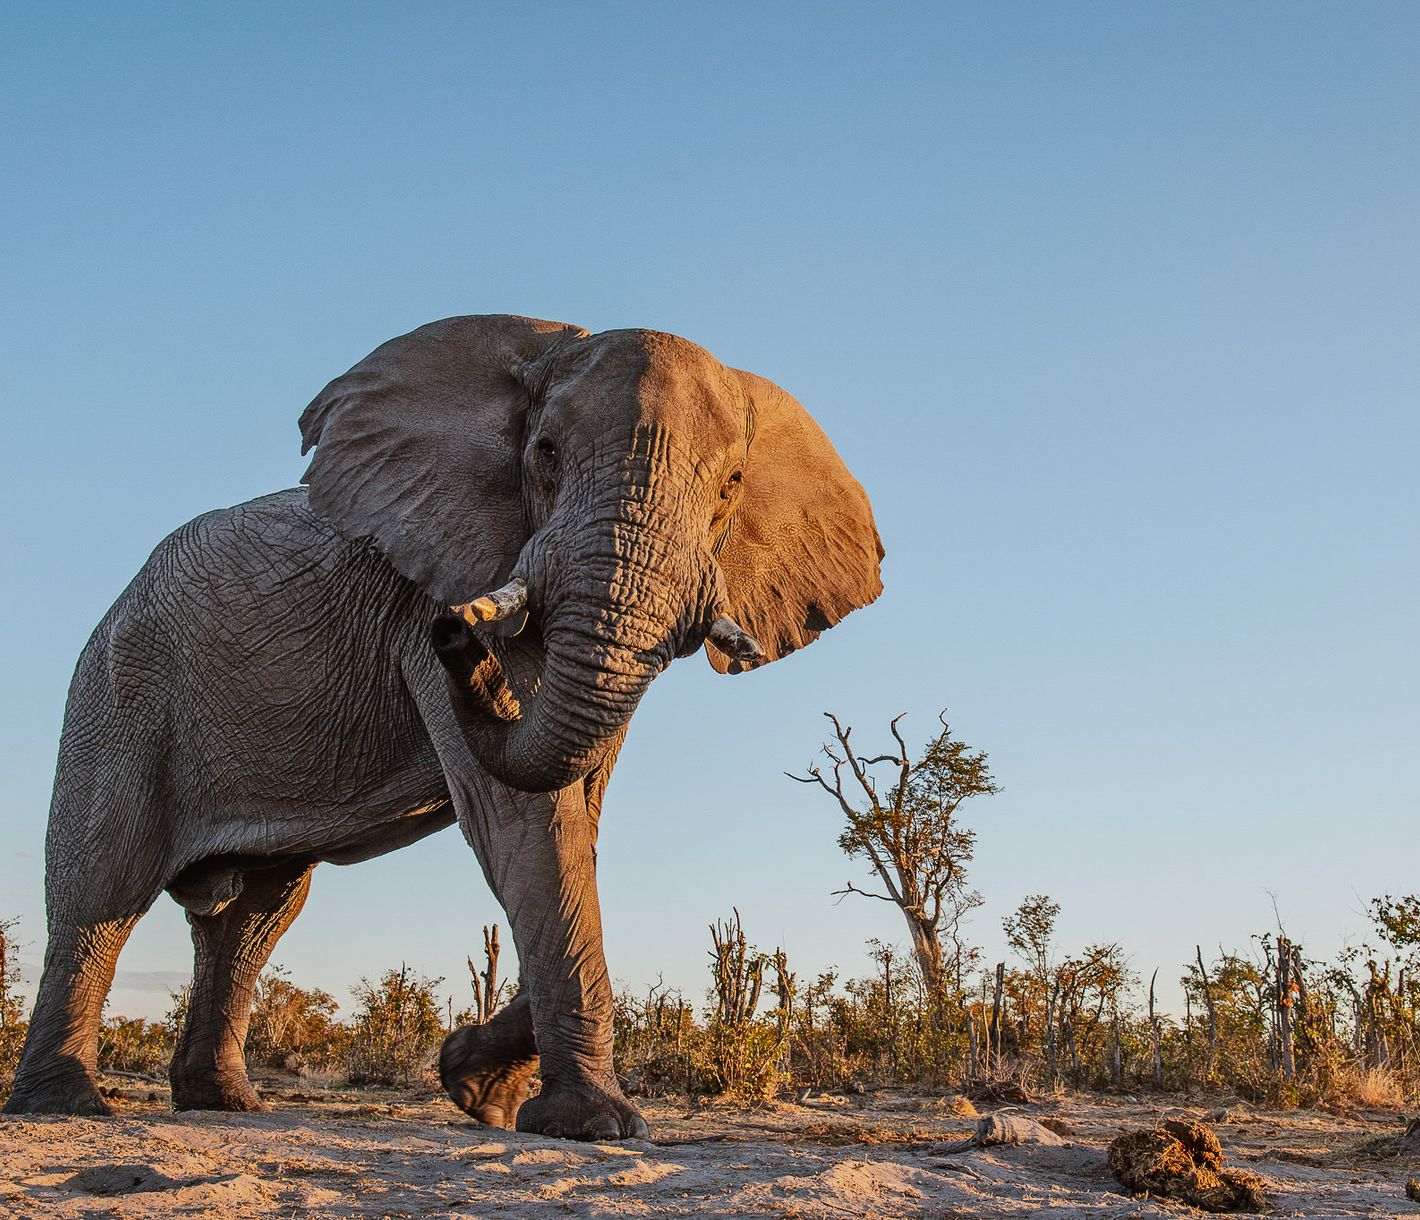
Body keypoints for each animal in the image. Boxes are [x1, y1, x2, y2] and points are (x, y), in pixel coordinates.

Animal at [3, 314, 883, 1139]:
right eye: (546, 453)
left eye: (731, 485)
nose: (455, 633)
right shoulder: (432, 584)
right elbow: (526, 819)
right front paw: (594, 1126)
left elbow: (576, 821)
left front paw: (477, 1090)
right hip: (118, 688)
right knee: (102, 890)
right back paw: (65, 1107)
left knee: (254, 917)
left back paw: (224, 1103)